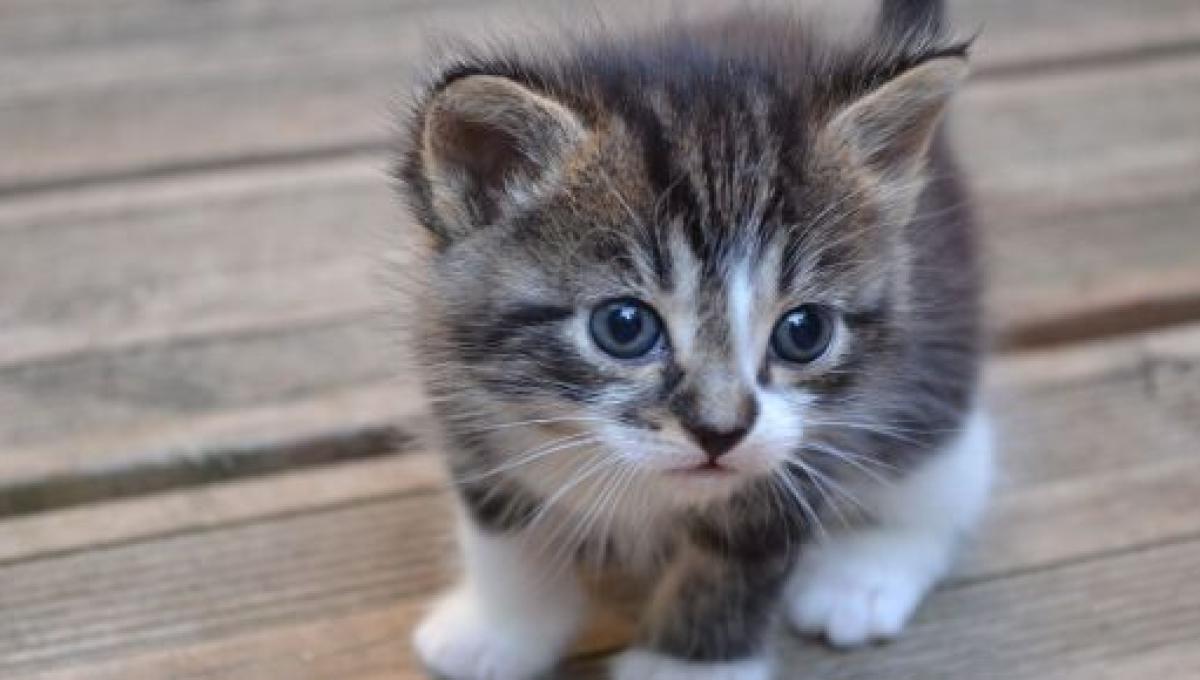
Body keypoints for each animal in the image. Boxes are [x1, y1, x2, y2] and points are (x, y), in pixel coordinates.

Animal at [398, 2, 988, 676]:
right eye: (624, 327)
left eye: (804, 332)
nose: (720, 432)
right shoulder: (457, 382)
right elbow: (501, 520)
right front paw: (501, 628)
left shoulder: (809, 439)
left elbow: (741, 547)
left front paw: (687, 663)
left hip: (936, 353)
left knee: (948, 472)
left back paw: (863, 575)